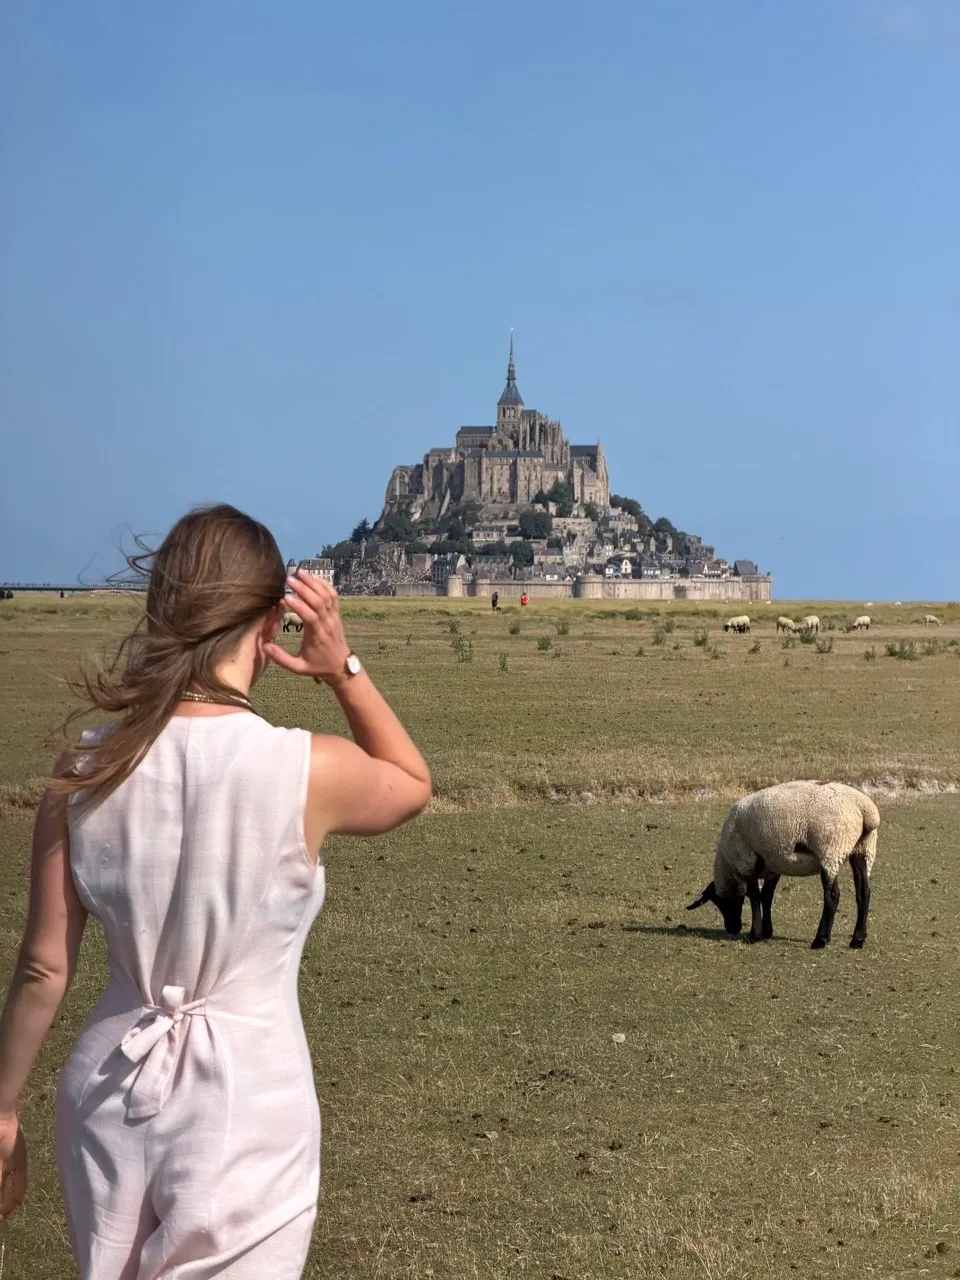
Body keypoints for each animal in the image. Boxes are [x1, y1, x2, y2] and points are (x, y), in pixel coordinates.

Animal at [686, 780, 879, 949]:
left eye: (719, 902)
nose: (732, 929)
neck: (728, 865)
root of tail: (865, 809)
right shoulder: (773, 865)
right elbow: (766, 897)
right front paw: (766, 932)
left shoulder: (747, 860)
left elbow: (755, 898)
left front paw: (754, 935)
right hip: (863, 850)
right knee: (864, 893)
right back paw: (857, 940)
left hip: (831, 849)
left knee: (832, 895)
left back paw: (820, 940)